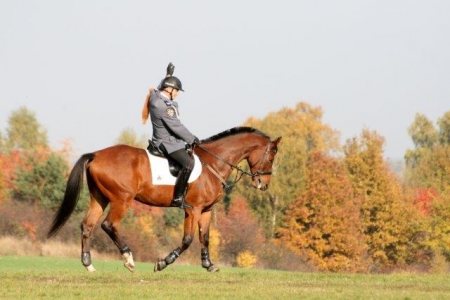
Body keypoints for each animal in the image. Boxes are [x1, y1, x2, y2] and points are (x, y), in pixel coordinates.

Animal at [48, 126, 282, 272]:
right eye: (271, 157)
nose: (263, 184)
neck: (213, 163)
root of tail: (96, 154)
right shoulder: (193, 209)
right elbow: (187, 240)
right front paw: (163, 262)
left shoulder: (206, 210)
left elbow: (205, 237)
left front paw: (208, 264)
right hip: (122, 200)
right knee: (109, 225)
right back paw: (128, 259)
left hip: (100, 198)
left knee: (87, 225)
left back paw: (88, 264)